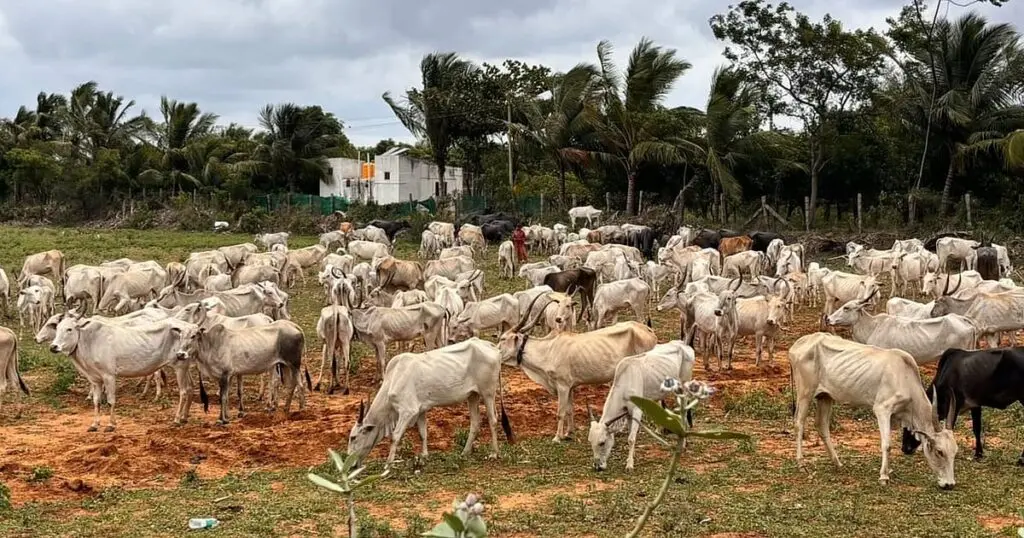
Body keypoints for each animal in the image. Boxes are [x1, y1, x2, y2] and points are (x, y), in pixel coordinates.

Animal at [346, 338, 509, 468]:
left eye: (353, 437)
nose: (350, 465)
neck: (393, 379)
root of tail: (491, 346)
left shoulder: (408, 411)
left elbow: (395, 436)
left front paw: (388, 464)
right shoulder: (420, 410)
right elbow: (422, 433)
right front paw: (424, 455)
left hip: (488, 393)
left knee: (493, 420)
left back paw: (494, 453)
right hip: (473, 395)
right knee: (475, 422)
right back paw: (465, 452)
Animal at [588, 340, 695, 471]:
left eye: (602, 442)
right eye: (590, 441)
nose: (597, 466)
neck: (624, 383)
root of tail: (683, 344)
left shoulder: (636, 410)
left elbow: (631, 439)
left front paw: (629, 465)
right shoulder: (627, 413)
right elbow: (630, 435)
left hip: (683, 388)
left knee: (684, 413)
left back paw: (683, 443)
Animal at [789, 332, 958, 488]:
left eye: (954, 452)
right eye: (939, 452)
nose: (949, 484)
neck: (905, 379)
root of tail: (797, 344)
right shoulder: (882, 409)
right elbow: (887, 444)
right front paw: (883, 477)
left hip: (825, 396)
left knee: (821, 425)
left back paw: (837, 463)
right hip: (805, 393)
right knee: (799, 423)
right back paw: (802, 464)